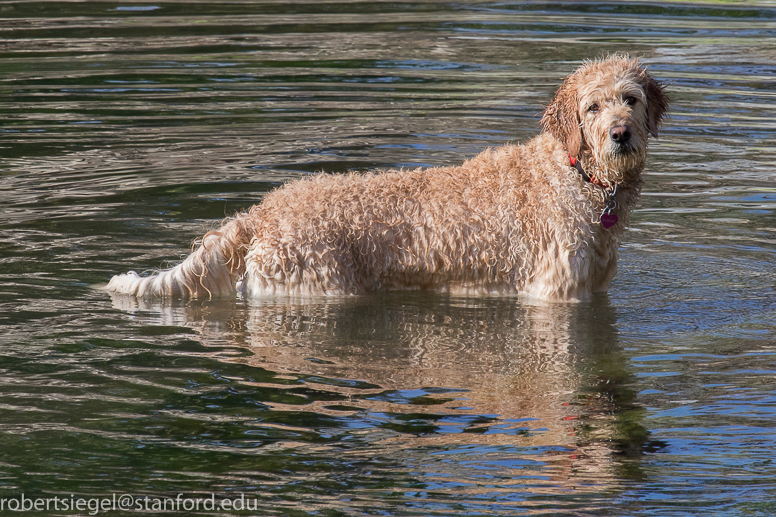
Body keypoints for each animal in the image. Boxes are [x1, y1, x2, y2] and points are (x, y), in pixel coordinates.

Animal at [106, 54, 668, 300]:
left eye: (630, 99)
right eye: (592, 107)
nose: (620, 134)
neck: (577, 177)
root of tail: (263, 211)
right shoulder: (554, 295)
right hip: (317, 288)